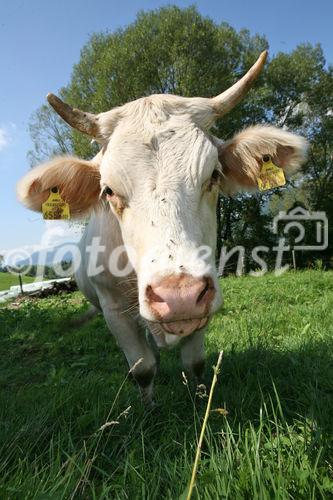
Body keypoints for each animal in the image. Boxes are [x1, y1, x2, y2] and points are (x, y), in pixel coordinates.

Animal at [16, 50, 306, 404]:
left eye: (213, 175)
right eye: (108, 190)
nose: (179, 295)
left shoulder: (202, 305)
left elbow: (195, 363)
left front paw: (198, 401)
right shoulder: (113, 309)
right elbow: (142, 368)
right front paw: (148, 408)